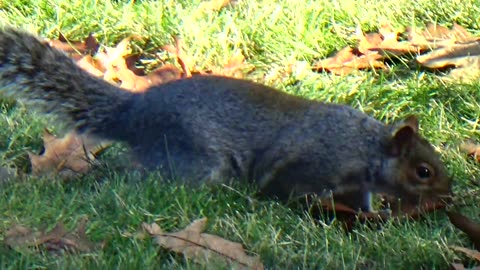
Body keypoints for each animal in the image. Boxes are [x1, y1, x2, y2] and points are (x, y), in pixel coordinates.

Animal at [0, 28, 450, 213]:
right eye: (423, 171)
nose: (449, 196)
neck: (367, 148)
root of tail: (135, 112)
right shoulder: (317, 164)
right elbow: (290, 186)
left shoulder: (357, 184)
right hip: (196, 159)